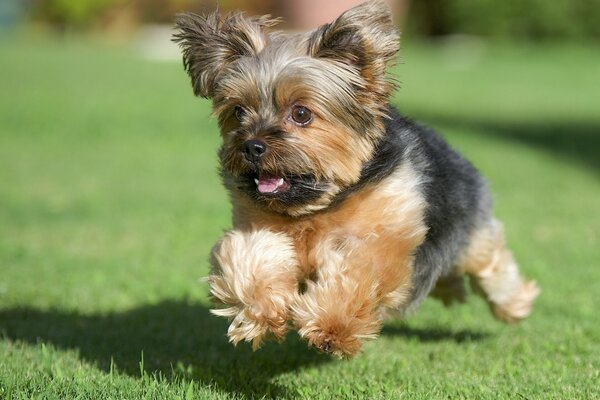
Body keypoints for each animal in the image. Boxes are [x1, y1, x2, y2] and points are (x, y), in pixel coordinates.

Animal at [172, 0, 540, 356]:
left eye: (301, 113)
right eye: (238, 111)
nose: (251, 146)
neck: (320, 204)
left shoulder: (388, 232)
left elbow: (360, 268)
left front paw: (331, 325)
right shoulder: (258, 223)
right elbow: (246, 256)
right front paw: (261, 314)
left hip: (470, 225)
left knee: (490, 261)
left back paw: (514, 303)